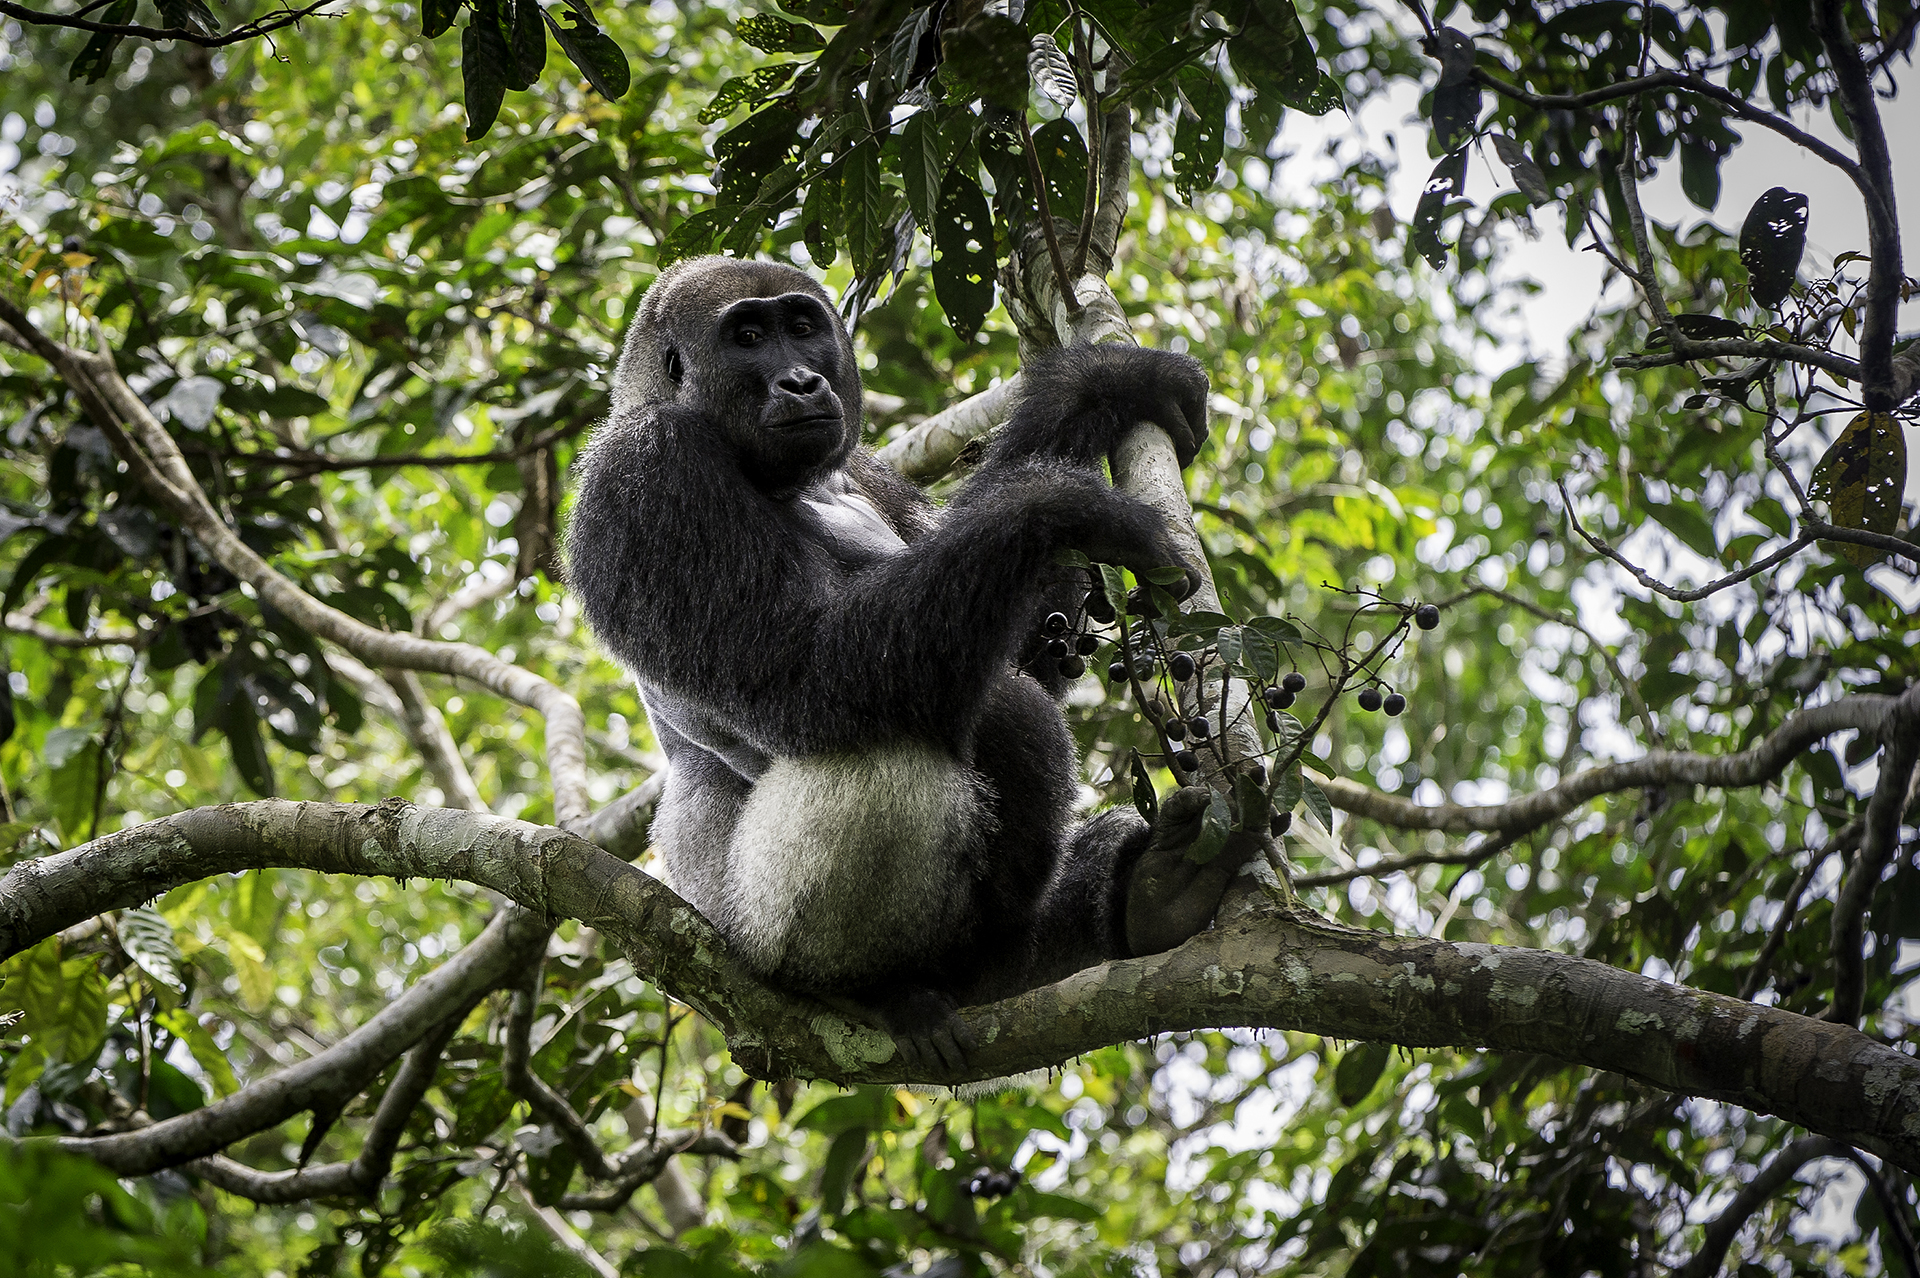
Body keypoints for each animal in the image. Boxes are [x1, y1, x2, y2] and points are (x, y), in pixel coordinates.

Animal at [566, 255, 1247, 1071]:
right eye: (748, 337)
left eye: (803, 327)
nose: (801, 381)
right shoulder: (648, 465)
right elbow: (810, 672)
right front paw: (1061, 503)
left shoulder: (864, 469)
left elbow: (1022, 645)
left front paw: (1105, 385)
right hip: (757, 950)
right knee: (912, 749)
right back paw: (882, 990)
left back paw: (1147, 893)